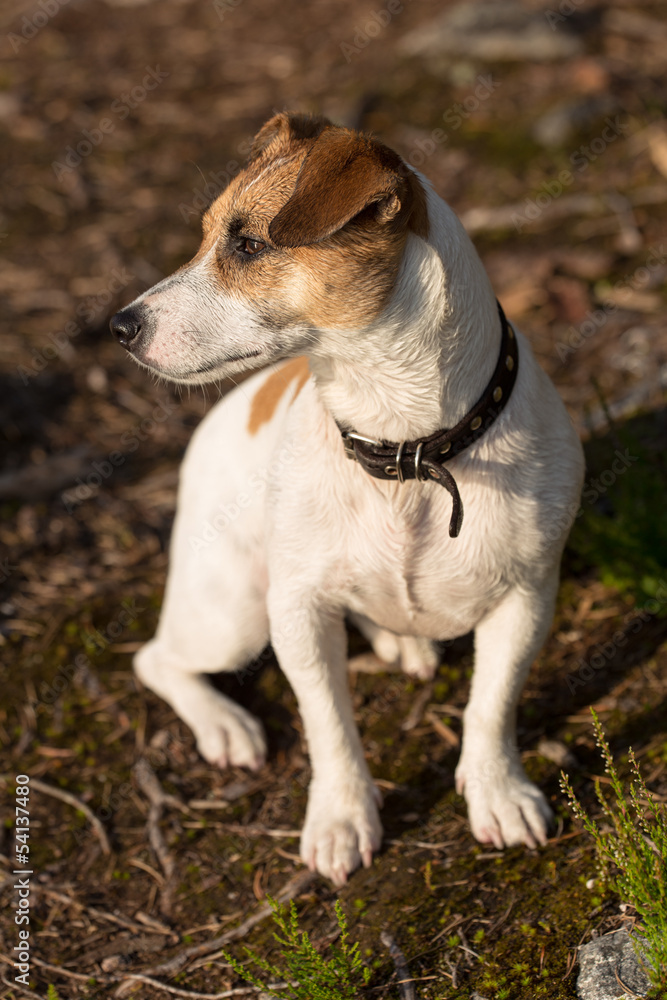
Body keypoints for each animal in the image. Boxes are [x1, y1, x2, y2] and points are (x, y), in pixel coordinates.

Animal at [113, 113, 584, 888]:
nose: (119, 327)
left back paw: (400, 640)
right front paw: (340, 818)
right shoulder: (297, 611)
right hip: (233, 613)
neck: (407, 448)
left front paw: (497, 791)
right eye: (207, 236)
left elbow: (490, 704)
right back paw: (225, 725)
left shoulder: (525, 599)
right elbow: (328, 724)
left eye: (248, 245)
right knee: (156, 659)